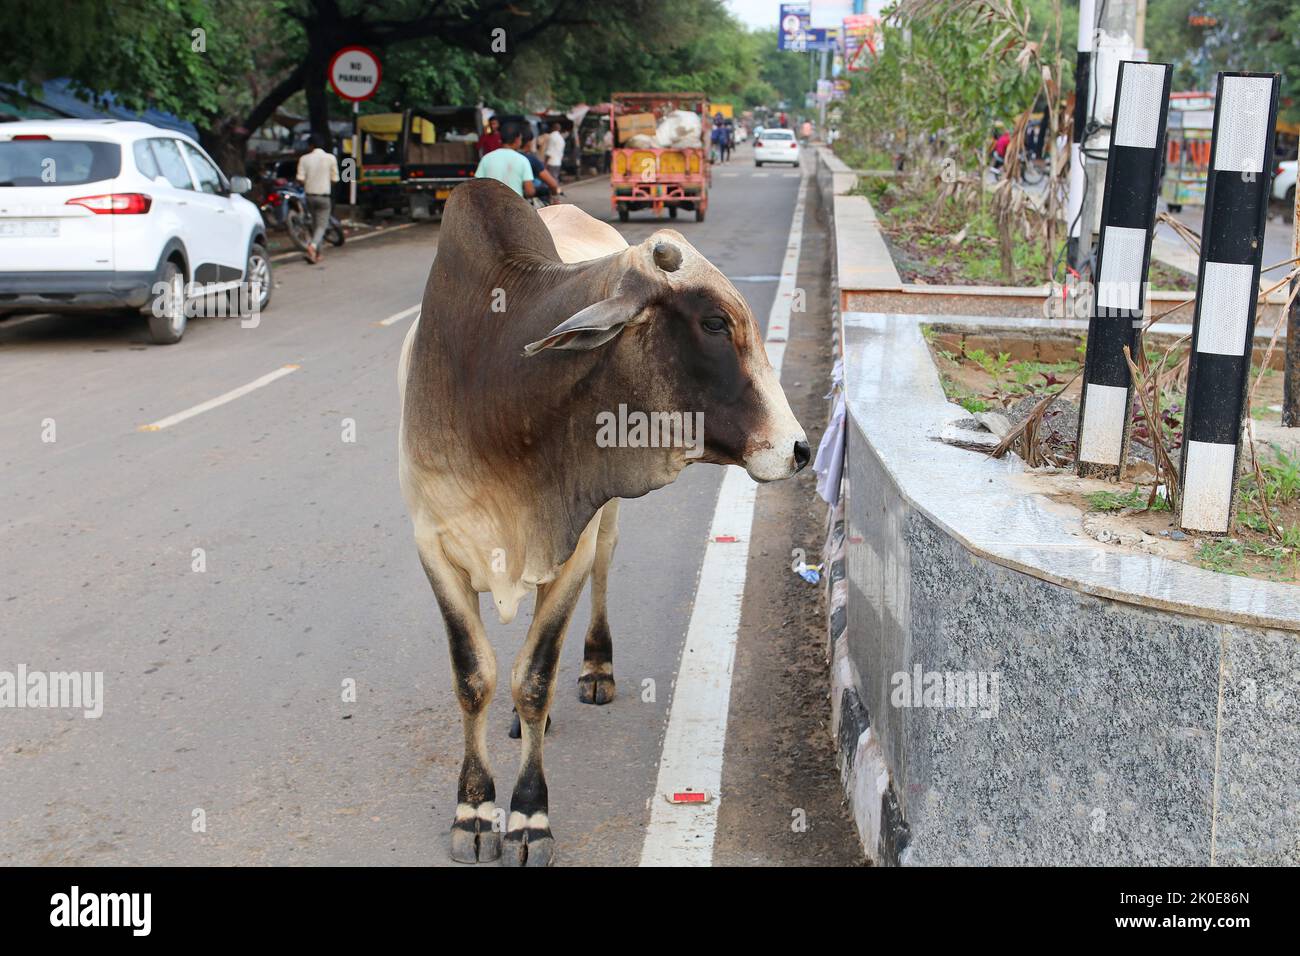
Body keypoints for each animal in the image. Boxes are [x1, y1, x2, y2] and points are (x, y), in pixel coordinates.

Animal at [397, 179, 800, 868]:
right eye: (714, 322)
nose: (799, 447)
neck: (502, 390)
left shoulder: (572, 545)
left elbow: (534, 678)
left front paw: (529, 817)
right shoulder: (432, 546)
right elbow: (475, 677)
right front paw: (474, 809)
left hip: (601, 522)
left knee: (601, 574)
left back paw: (594, 670)